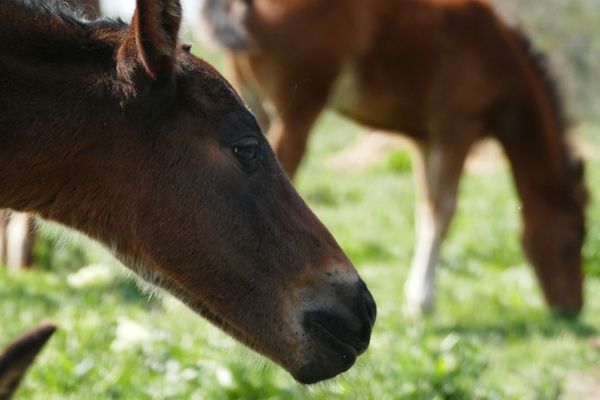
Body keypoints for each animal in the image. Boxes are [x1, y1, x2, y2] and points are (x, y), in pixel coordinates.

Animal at [202, 0, 584, 316]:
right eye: (572, 242)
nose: (572, 309)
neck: (499, 52)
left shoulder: (424, 141)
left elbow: (426, 209)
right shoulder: (455, 131)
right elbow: (444, 211)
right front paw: (422, 302)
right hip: (298, 112)